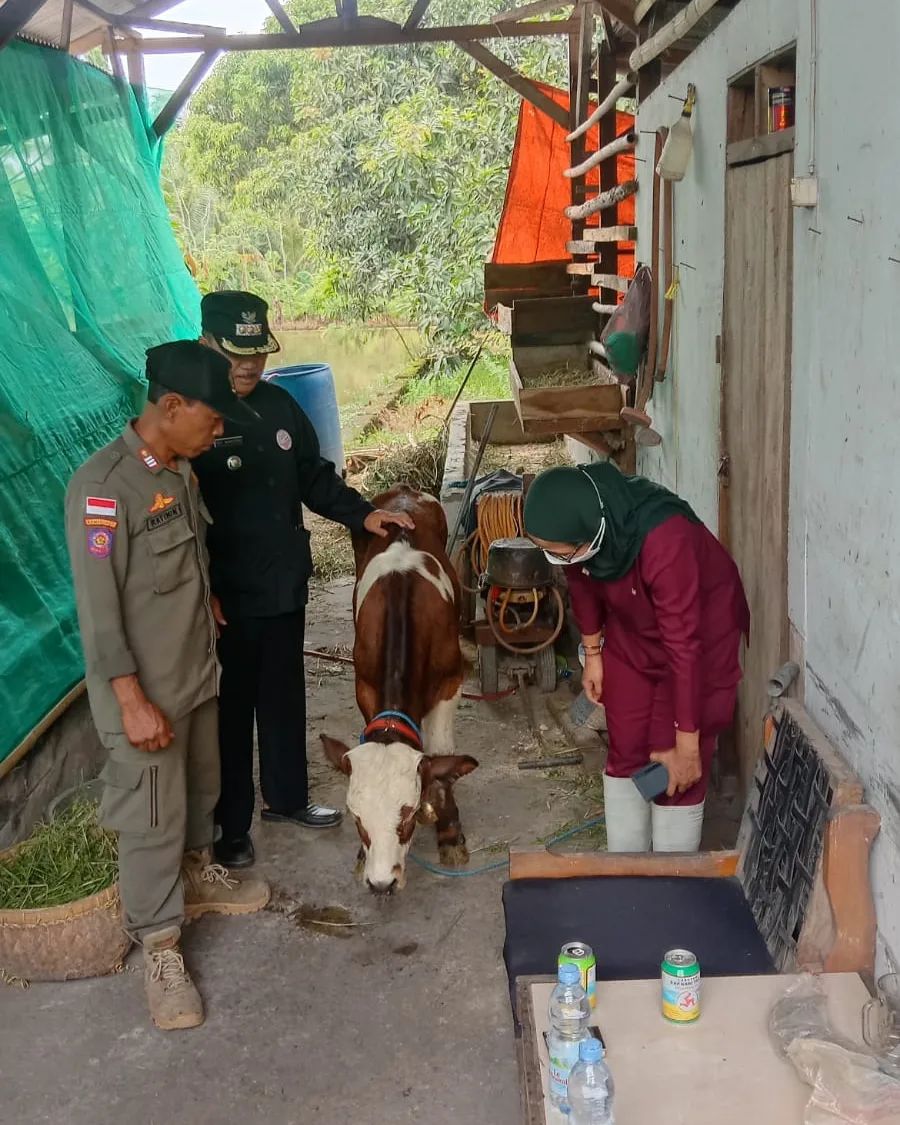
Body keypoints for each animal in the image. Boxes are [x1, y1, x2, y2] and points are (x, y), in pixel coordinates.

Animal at [321, 483, 477, 895]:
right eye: (357, 819)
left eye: (406, 818)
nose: (381, 884)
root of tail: (404, 489)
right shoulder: (364, 683)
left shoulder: (451, 681)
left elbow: (441, 752)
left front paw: (449, 833)